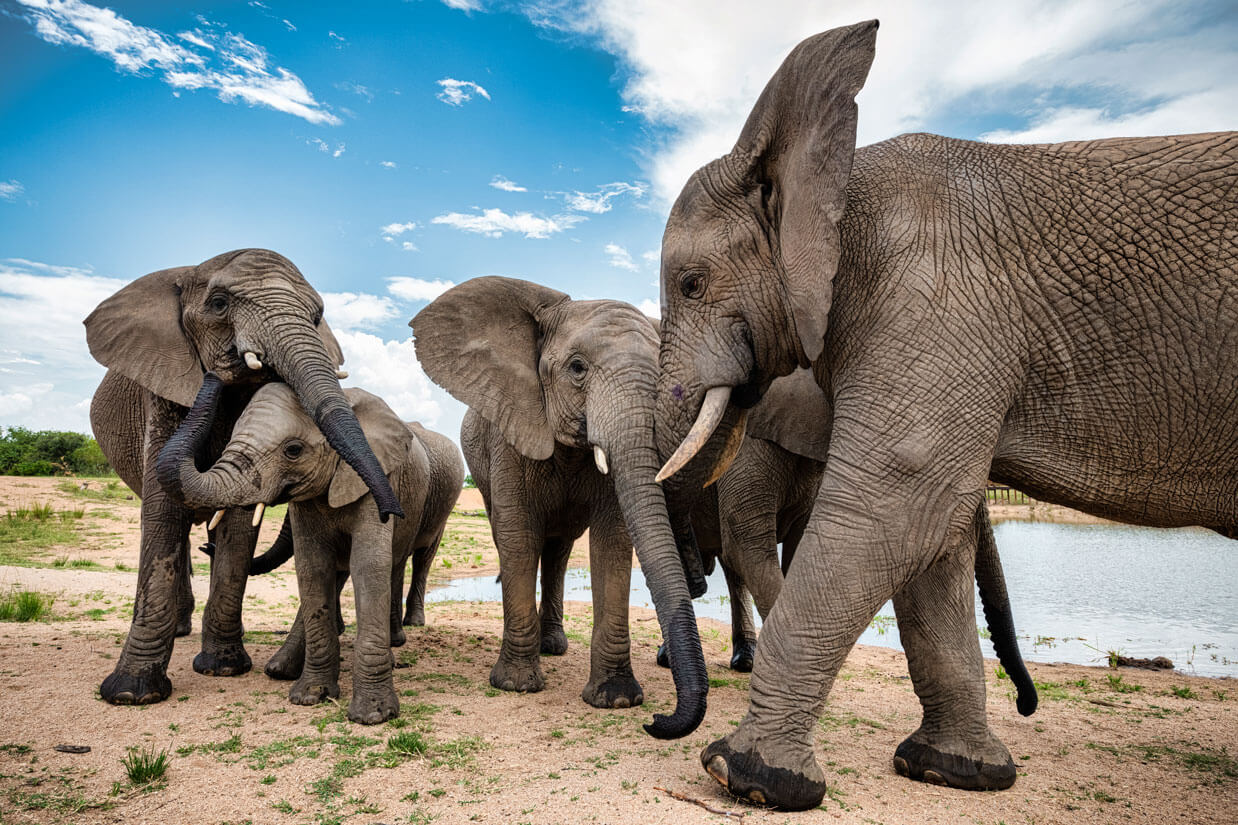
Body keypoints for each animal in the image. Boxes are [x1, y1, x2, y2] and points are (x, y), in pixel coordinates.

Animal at [84, 248, 403, 706]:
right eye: (219, 304)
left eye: (317, 316)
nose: (223, 365)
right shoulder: (162, 387)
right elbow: (164, 511)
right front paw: (131, 693)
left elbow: (237, 525)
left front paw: (223, 668)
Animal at [156, 378, 464, 723]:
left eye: (293, 450)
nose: (213, 378)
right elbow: (312, 565)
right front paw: (309, 696)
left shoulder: (379, 478)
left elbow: (368, 564)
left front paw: (374, 715)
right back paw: (282, 668)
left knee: (411, 559)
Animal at [411, 276, 709, 736]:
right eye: (577, 368)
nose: (658, 721)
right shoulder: (510, 431)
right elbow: (518, 537)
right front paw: (515, 685)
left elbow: (612, 542)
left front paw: (617, 700)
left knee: (558, 551)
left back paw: (552, 646)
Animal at [650, 20, 1238, 809]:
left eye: (690, 283)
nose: (1029, 703)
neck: (837, 174)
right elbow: (922, 527)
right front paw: (949, 772)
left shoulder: (928, 299)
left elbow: (902, 508)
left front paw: (747, 777)